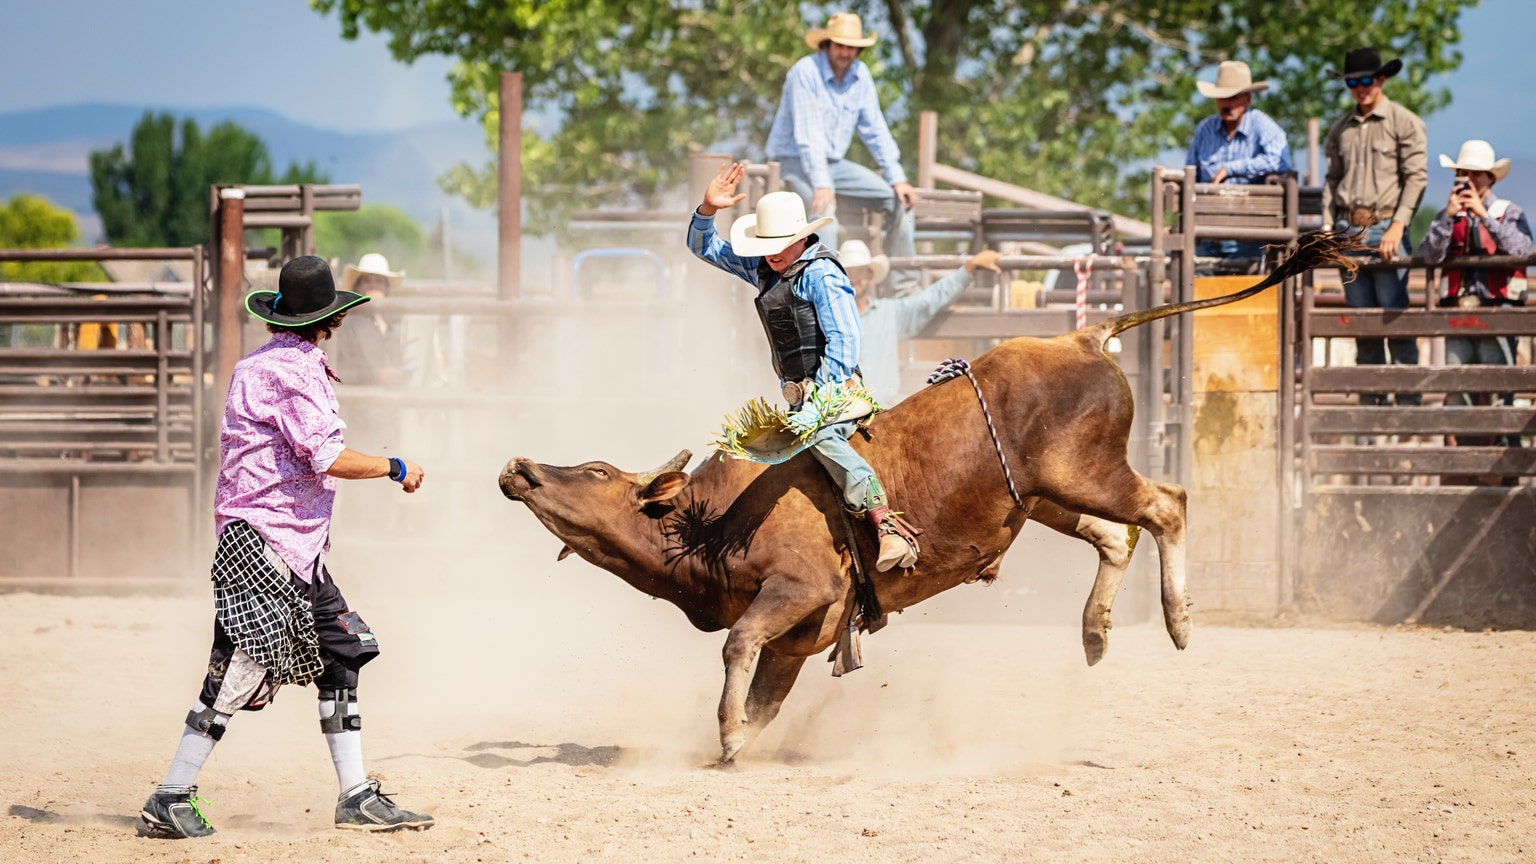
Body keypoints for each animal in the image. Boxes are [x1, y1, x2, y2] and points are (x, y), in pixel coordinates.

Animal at [497, 232, 1351, 756]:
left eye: (598, 472)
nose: (520, 468)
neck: (711, 523)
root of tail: (1081, 334)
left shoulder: (797, 589)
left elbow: (736, 645)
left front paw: (729, 735)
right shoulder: (800, 637)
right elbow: (766, 693)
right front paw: (740, 739)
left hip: (1087, 474)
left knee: (1166, 504)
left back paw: (1176, 621)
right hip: (1045, 497)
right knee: (1117, 535)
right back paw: (1094, 632)